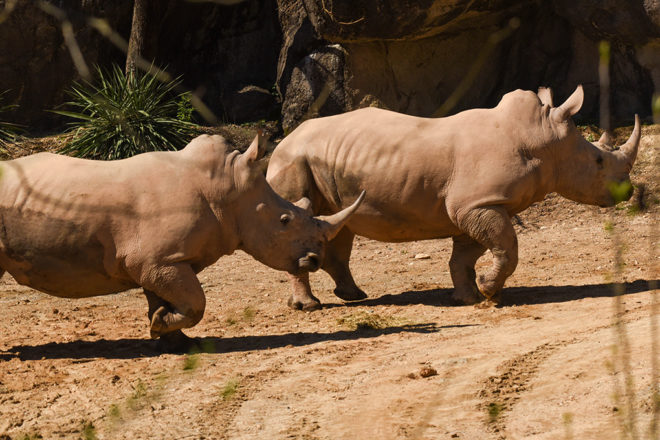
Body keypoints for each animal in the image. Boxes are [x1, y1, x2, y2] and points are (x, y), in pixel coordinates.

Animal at [266, 86, 640, 312]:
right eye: (599, 161)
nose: (629, 191)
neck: (543, 140)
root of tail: (286, 139)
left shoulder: (474, 206)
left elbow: (467, 255)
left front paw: (469, 297)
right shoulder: (478, 203)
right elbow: (507, 248)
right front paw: (489, 293)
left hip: (319, 162)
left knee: (337, 224)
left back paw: (353, 296)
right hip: (293, 159)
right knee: (299, 222)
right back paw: (309, 306)